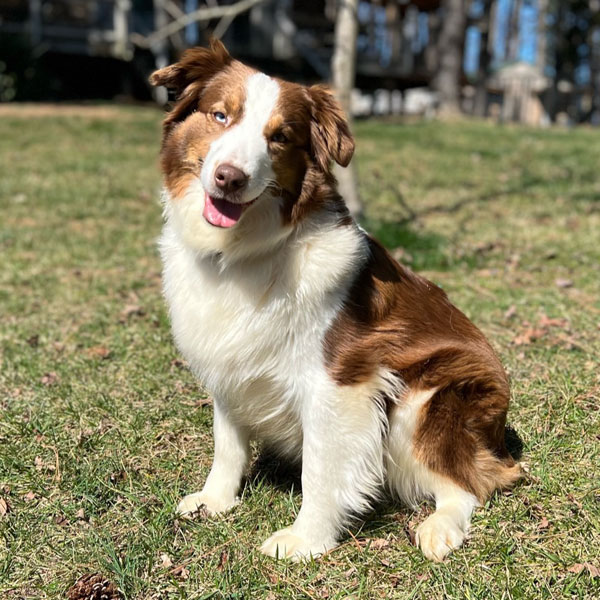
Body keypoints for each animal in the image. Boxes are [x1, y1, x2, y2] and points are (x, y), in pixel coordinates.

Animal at [151, 41, 520, 564]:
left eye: (280, 137)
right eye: (220, 115)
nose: (229, 179)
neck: (243, 253)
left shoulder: (339, 379)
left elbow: (321, 468)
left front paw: (307, 539)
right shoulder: (229, 362)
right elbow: (227, 442)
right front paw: (215, 500)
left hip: (425, 398)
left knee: (474, 483)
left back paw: (439, 528)